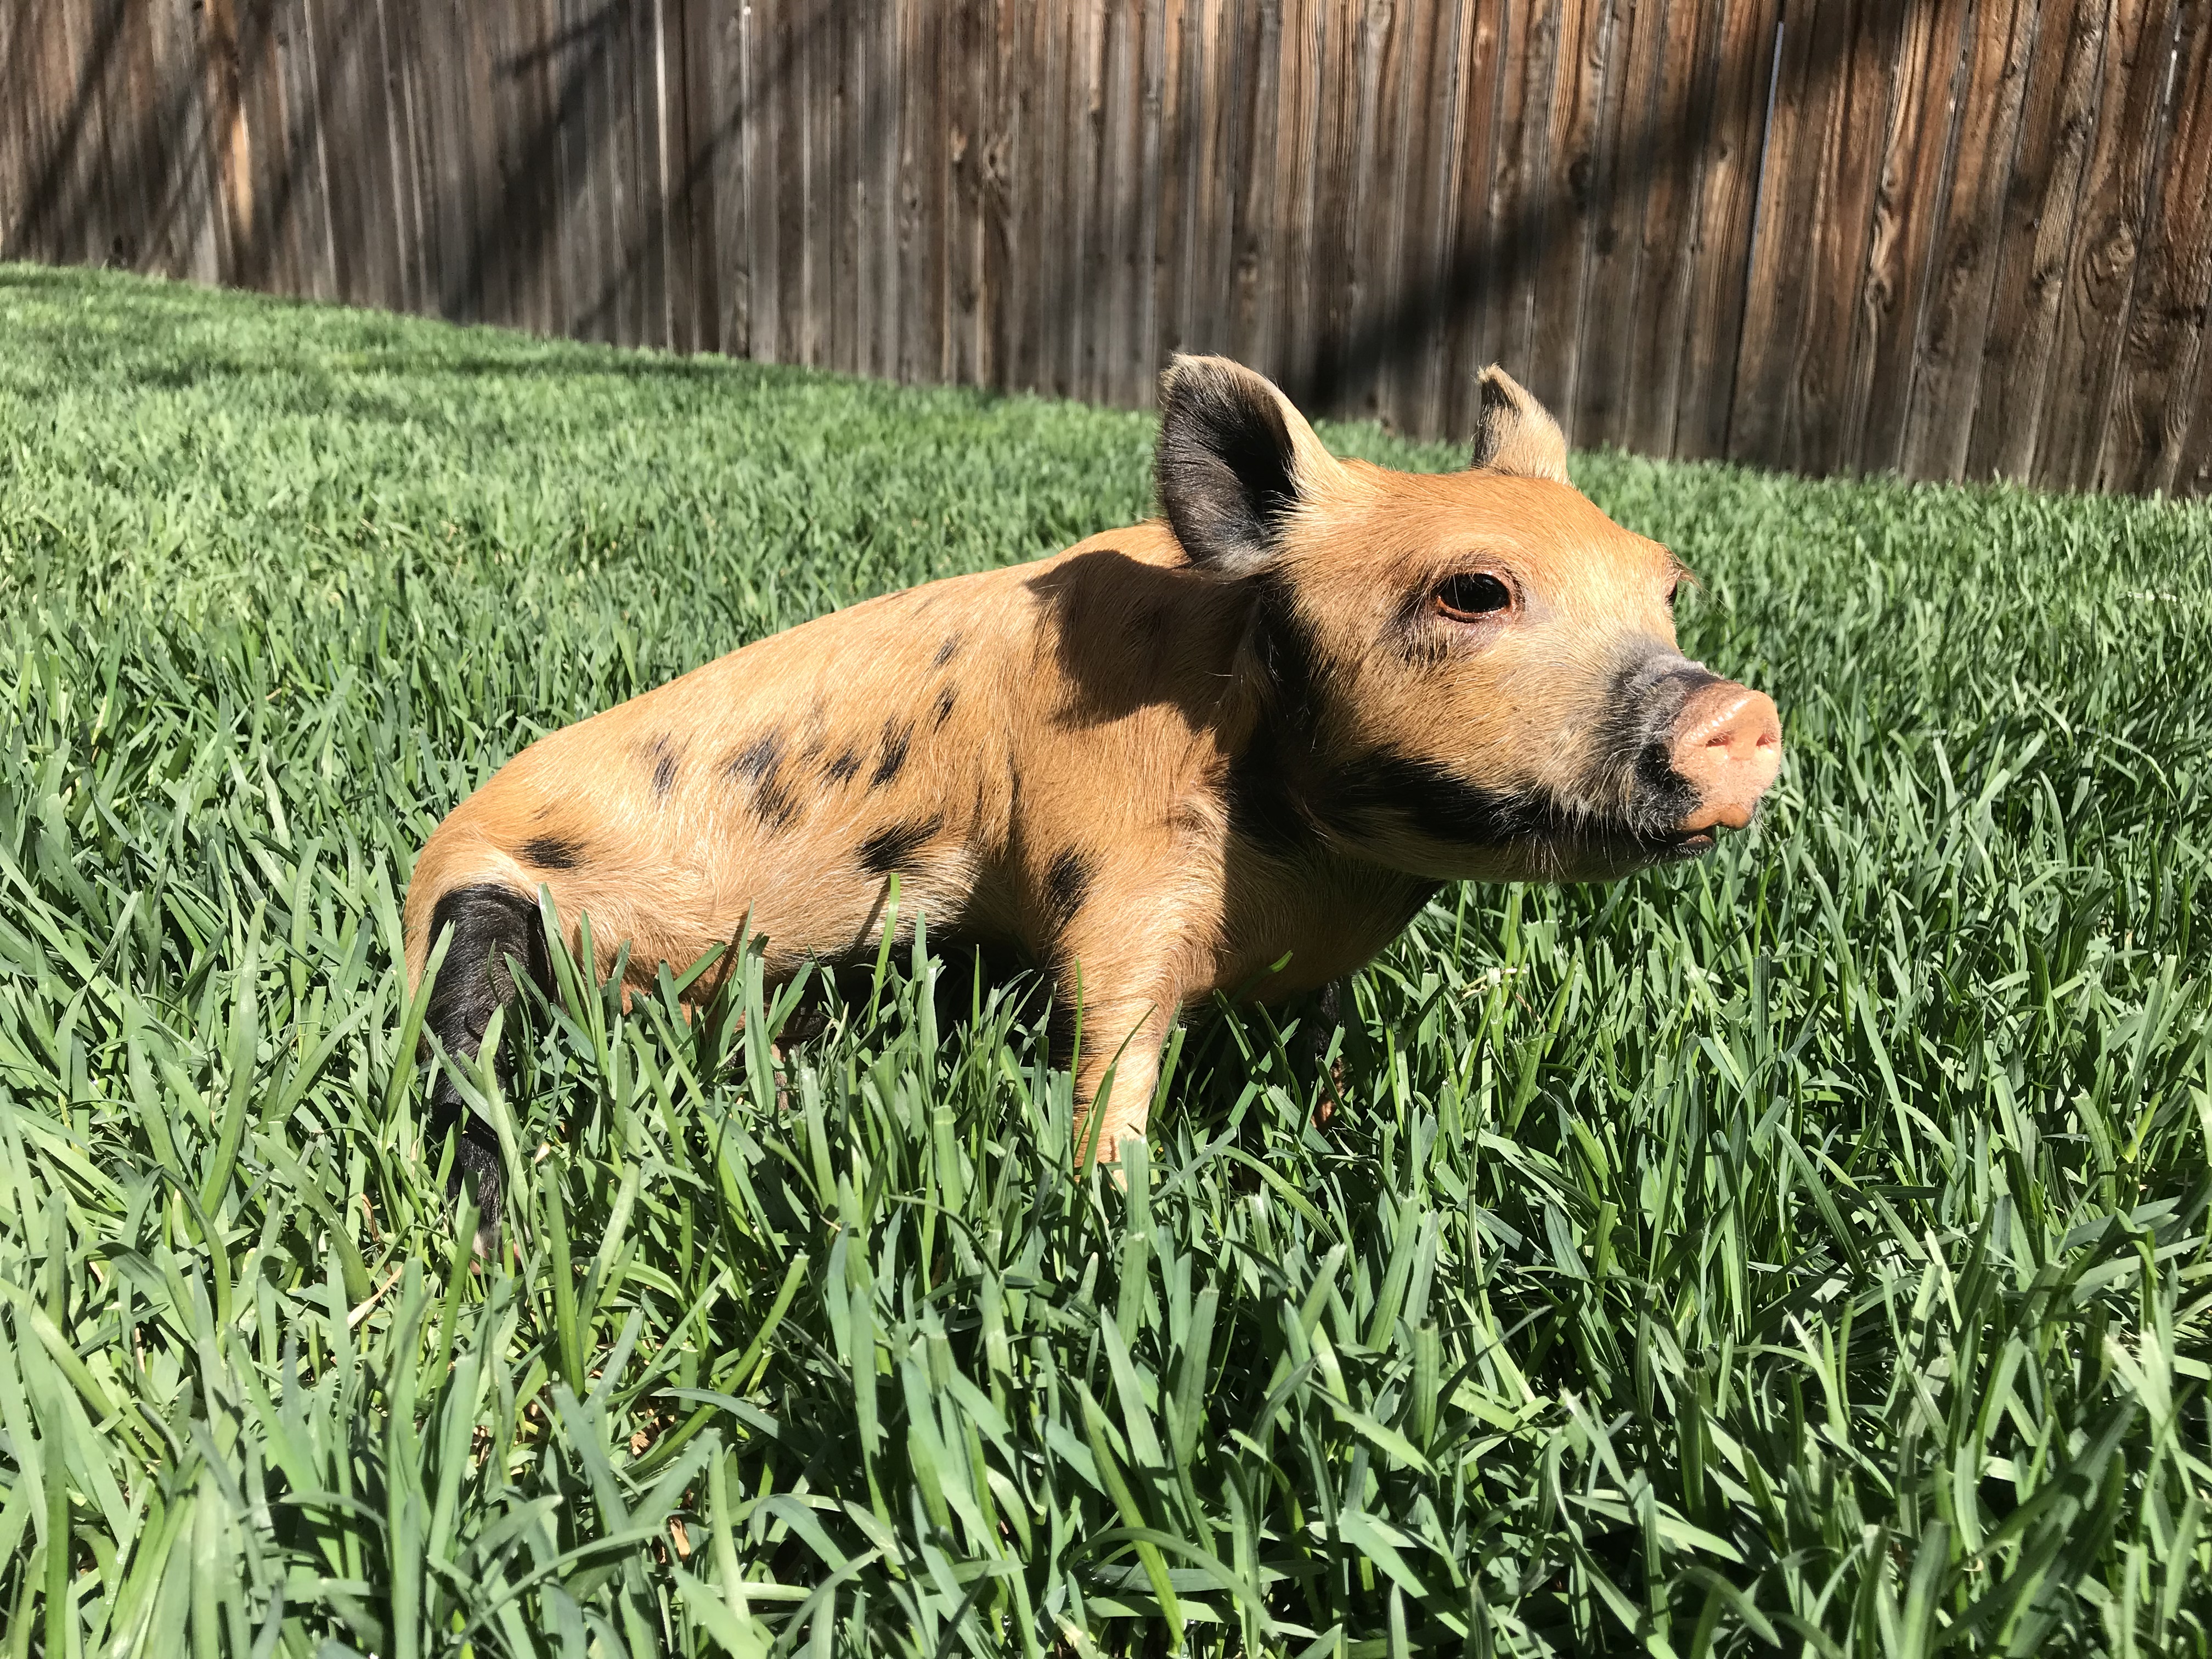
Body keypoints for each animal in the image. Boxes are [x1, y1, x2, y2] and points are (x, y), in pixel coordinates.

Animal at [403, 357, 1781, 1223]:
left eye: (1667, 584)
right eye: (1475, 591)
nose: (1742, 716)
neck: (1310, 865)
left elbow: (1327, 1041)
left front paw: (1338, 1125)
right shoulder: (1105, 865)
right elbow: (1114, 1040)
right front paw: (1115, 1213)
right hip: (482, 906)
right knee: (468, 1054)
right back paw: (492, 1228)